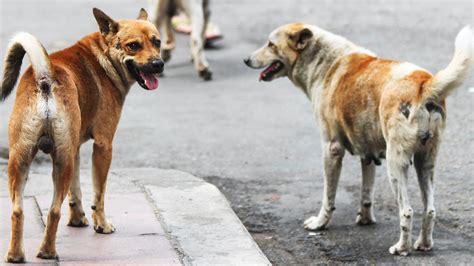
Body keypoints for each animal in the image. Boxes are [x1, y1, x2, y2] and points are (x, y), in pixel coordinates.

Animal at [1, 7, 164, 262]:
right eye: (133, 46)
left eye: (157, 42)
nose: (158, 64)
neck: (103, 57)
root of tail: (45, 78)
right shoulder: (103, 146)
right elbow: (99, 194)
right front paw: (102, 225)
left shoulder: (74, 148)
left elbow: (75, 191)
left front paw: (77, 219)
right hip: (60, 162)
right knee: (53, 211)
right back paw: (47, 252)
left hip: (22, 160)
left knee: (18, 210)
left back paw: (16, 255)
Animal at [246, 23, 472, 256]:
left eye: (271, 44)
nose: (246, 60)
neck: (324, 61)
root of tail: (423, 83)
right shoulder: (368, 153)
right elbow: (366, 193)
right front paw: (365, 220)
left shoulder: (331, 150)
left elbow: (328, 196)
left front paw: (320, 223)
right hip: (425, 163)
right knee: (429, 209)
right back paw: (424, 244)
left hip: (396, 164)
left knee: (407, 211)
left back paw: (402, 248)